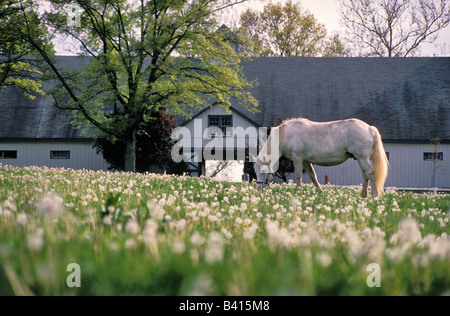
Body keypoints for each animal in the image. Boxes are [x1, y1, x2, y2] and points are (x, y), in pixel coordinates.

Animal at [255, 118, 388, 198]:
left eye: (263, 171)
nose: (258, 189)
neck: (287, 134)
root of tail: (369, 128)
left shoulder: (297, 158)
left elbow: (298, 176)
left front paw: (298, 192)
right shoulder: (306, 161)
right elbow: (313, 176)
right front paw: (320, 191)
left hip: (363, 158)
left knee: (371, 174)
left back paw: (374, 195)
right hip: (361, 159)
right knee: (366, 175)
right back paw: (363, 195)